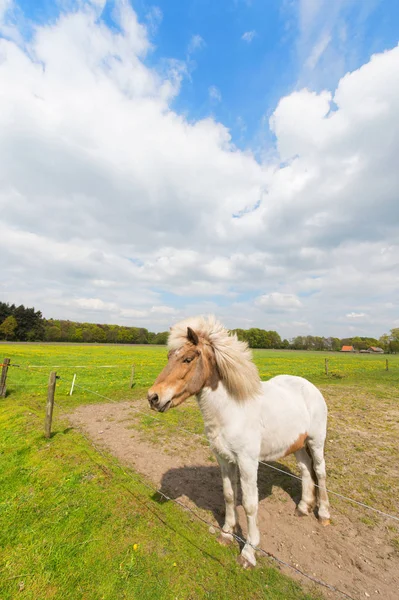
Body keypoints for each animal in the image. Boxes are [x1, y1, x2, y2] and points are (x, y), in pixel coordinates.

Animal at [147, 316, 332, 568]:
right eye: (168, 357)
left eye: (187, 358)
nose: (153, 397)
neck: (232, 410)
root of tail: (309, 386)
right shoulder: (224, 459)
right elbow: (229, 495)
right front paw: (226, 533)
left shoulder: (247, 462)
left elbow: (250, 504)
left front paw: (248, 552)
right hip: (297, 446)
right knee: (305, 470)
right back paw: (303, 507)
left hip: (316, 441)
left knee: (320, 473)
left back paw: (323, 514)